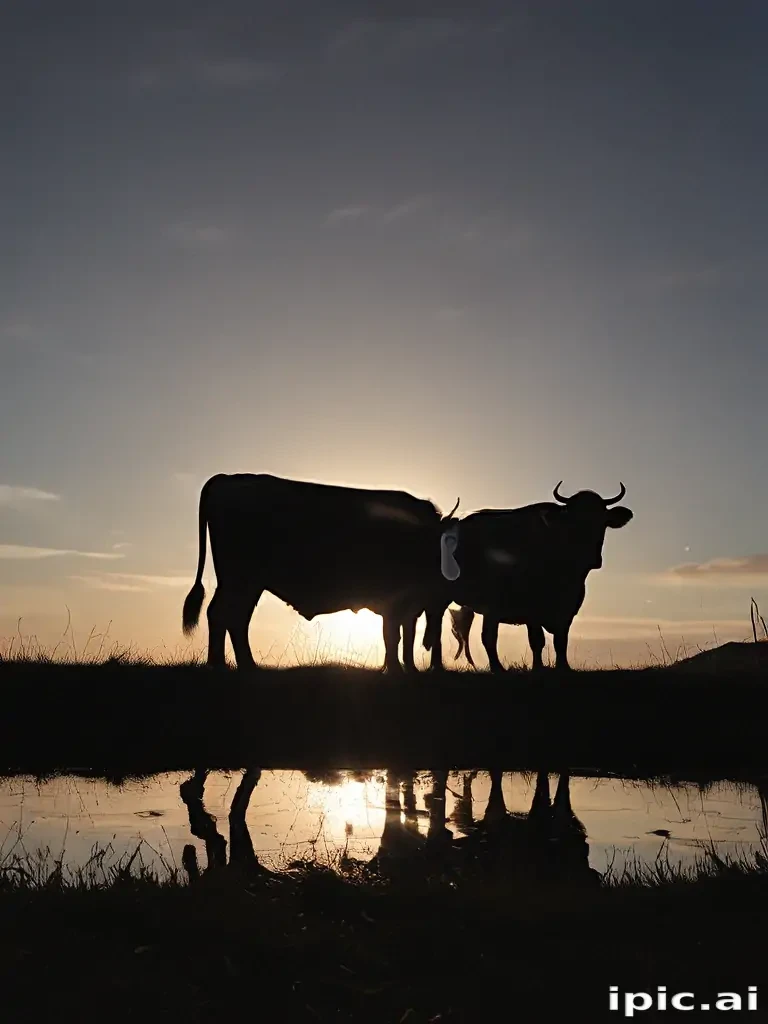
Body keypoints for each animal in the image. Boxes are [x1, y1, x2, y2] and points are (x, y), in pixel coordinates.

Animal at [181, 472, 461, 672]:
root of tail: (227, 478)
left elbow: (405, 634)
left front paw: (405, 669)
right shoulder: (396, 600)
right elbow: (394, 634)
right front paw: (395, 670)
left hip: (245, 583)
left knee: (232, 617)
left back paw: (238, 666)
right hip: (241, 580)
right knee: (224, 614)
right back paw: (225, 666)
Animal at [421, 482, 633, 672]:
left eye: (602, 521)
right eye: (573, 522)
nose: (592, 558)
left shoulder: (567, 608)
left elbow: (561, 640)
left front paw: (563, 667)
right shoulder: (532, 609)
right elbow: (537, 640)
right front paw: (538, 668)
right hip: (444, 598)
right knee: (447, 629)